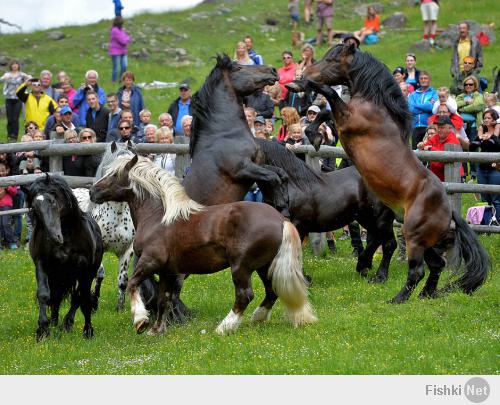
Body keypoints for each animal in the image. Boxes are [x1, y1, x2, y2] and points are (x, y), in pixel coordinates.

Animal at [25, 174, 104, 340]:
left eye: (53, 201)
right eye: (34, 208)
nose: (54, 237)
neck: (67, 236)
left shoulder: (85, 270)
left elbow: (82, 297)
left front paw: (88, 330)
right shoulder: (42, 265)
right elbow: (44, 295)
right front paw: (43, 330)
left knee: (76, 296)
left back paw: (67, 323)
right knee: (57, 297)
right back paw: (55, 322)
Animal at [90, 155, 316, 334]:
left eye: (114, 175)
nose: (93, 191)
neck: (158, 218)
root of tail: (281, 220)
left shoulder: (149, 262)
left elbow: (132, 285)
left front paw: (140, 321)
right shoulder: (167, 271)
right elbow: (164, 298)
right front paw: (156, 330)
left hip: (241, 266)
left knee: (245, 295)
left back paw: (224, 327)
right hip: (264, 266)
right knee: (271, 292)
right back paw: (257, 318)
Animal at [256, 138, 396, 280]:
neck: (292, 187)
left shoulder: (298, 226)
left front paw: (303, 278)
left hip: (379, 217)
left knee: (385, 242)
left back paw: (375, 273)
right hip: (368, 218)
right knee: (383, 242)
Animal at [292, 45, 490, 304]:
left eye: (333, 59)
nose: (305, 74)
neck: (375, 106)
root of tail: (449, 210)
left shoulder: (347, 118)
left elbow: (330, 98)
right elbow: (325, 112)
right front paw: (313, 135)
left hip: (413, 236)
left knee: (416, 269)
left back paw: (397, 299)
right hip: (425, 240)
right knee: (436, 265)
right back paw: (425, 294)